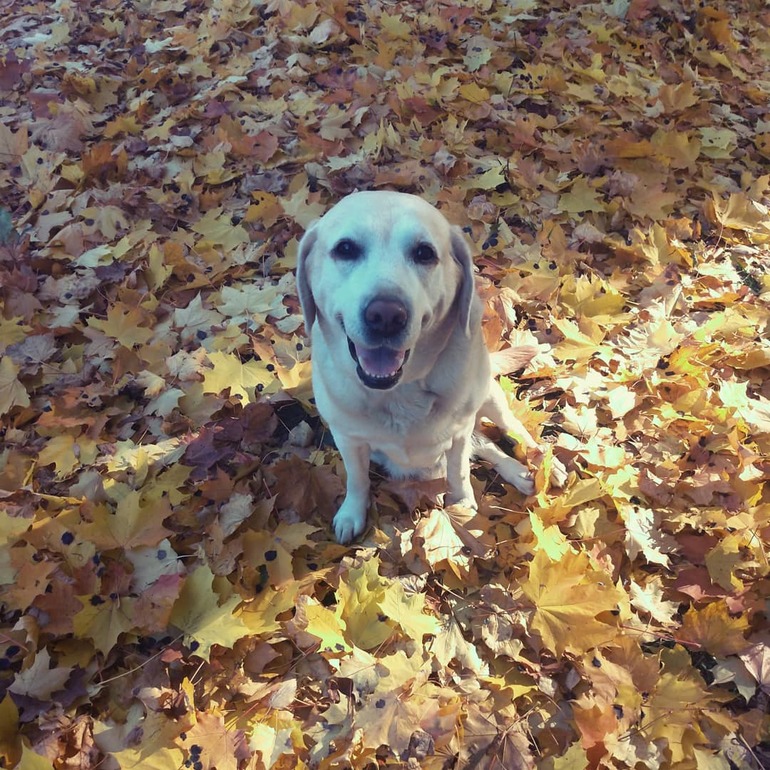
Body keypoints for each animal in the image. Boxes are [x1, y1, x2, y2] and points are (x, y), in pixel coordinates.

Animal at [297, 191, 565, 543]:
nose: (386, 316)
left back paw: (540, 462)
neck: (400, 392)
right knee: (486, 443)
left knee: (510, 430)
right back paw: (519, 471)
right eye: (345, 249)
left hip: (489, 397)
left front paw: (462, 505)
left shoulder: (460, 431)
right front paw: (352, 512)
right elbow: (357, 479)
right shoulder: (348, 438)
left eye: (424, 253)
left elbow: (459, 472)